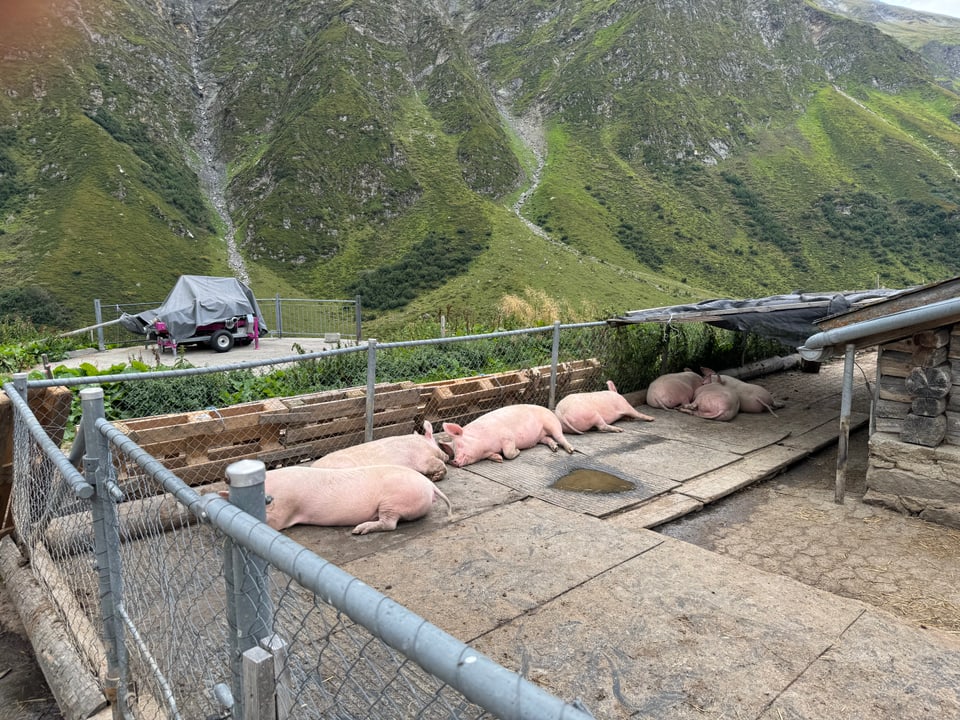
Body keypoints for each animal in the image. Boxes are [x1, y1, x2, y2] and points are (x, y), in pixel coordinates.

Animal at [223, 466, 452, 536]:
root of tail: (428, 484)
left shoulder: (286, 509)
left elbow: (274, 522)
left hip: (394, 501)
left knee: (390, 524)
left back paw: (358, 530)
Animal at [314, 420, 452, 480]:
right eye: (436, 443)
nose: (448, 456)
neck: (424, 443)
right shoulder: (424, 459)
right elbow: (440, 465)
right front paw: (435, 477)